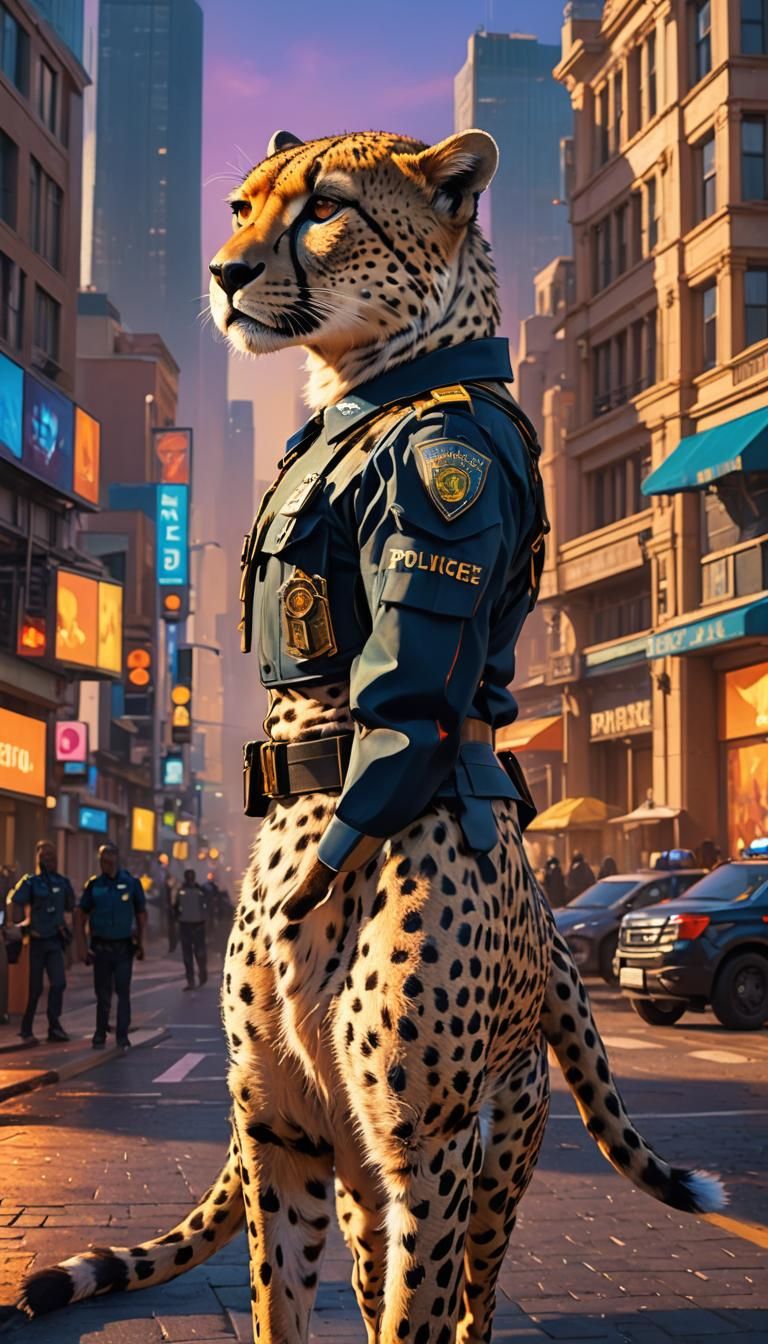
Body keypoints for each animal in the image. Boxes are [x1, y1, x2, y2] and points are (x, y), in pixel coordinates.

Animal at [17, 129, 725, 1344]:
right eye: (245, 206)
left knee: (473, 1294)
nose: (224, 273)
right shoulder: (286, 1138)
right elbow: (278, 1306)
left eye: (326, 210)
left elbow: (416, 1315)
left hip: (490, 1154)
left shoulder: (424, 1152)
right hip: (351, 1171)